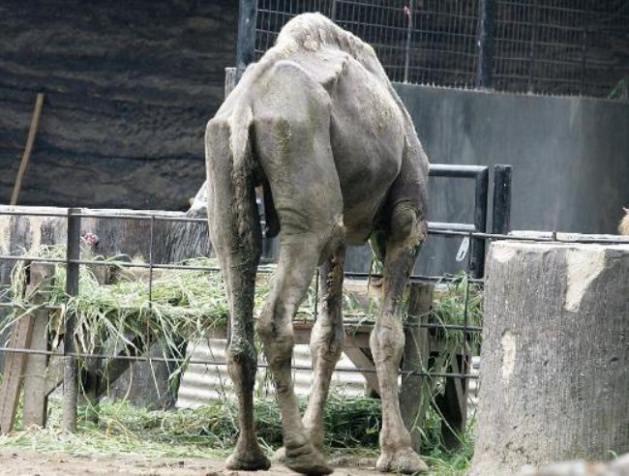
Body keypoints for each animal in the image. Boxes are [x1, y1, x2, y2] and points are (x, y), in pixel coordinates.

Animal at [204, 13, 430, 474]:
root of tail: (245, 109)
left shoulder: (340, 237)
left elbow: (327, 335)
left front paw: (317, 435)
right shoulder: (406, 221)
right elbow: (387, 335)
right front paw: (400, 454)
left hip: (226, 176)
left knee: (238, 271)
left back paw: (250, 454)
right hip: (302, 168)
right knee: (273, 319)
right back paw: (301, 455)